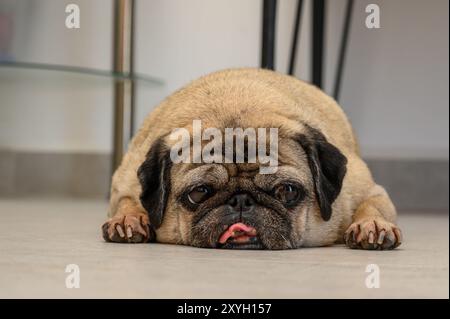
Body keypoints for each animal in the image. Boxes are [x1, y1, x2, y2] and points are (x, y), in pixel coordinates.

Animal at [103, 69, 404, 251]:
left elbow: (372, 204)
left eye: (287, 191)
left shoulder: (364, 190)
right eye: (199, 193)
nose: (241, 201)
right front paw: (130, 219)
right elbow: (126, 200)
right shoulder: (125, 182)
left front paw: (372, 225)